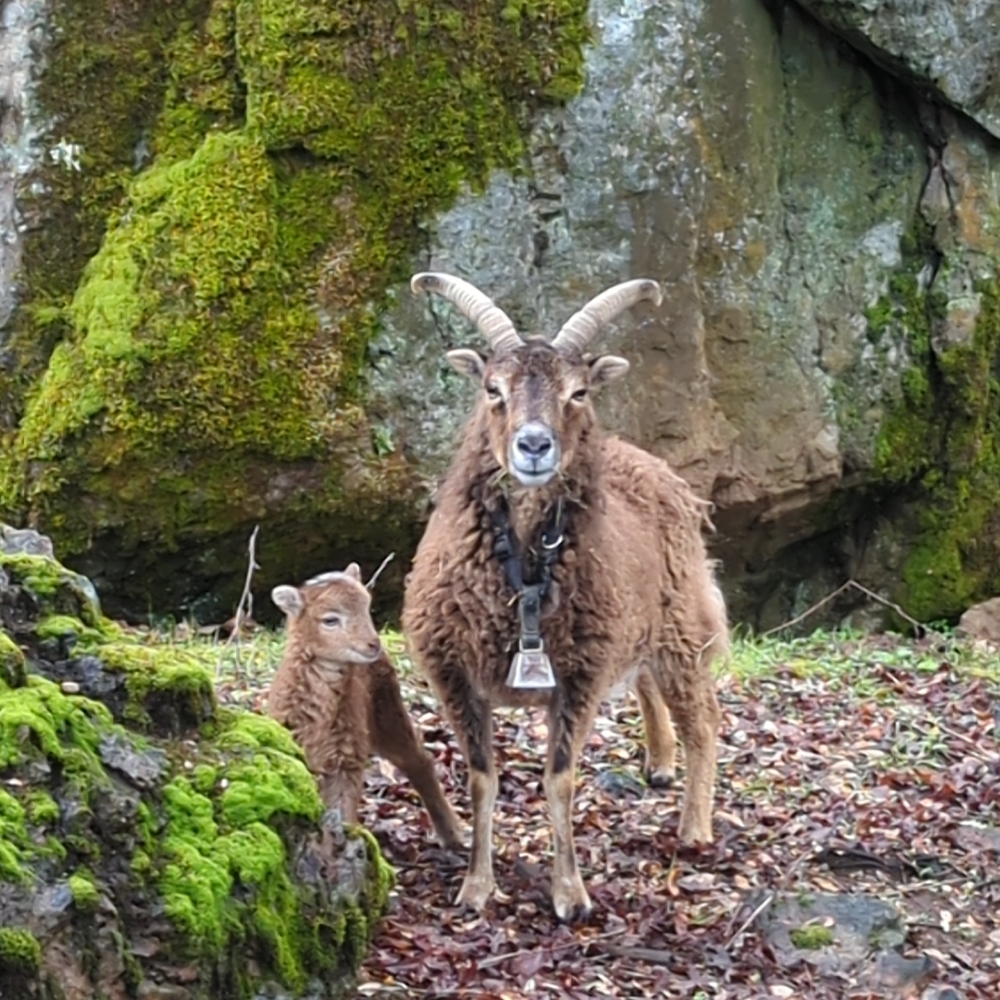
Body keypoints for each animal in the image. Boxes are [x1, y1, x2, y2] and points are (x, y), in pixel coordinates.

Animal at [270, 568, 464, 848]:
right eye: (330, 620)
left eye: (367, 608)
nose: (373, 644)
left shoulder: (347, 756)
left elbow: (343, 812)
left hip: (388, 711)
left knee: (419, 761)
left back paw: (452, 834)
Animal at [402, 274, 732, 920]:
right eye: (492, 388)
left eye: (577, 392)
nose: (534, 446)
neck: (525, 571)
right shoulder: (453, 670)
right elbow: (482, 776)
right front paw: (476, 888)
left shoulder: (578, 674)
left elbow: (559, 778)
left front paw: (570, 894)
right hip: (638, 626)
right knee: (648, 686)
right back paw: (660, 764)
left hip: (681, 623)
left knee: (703, 719)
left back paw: (695, 827)